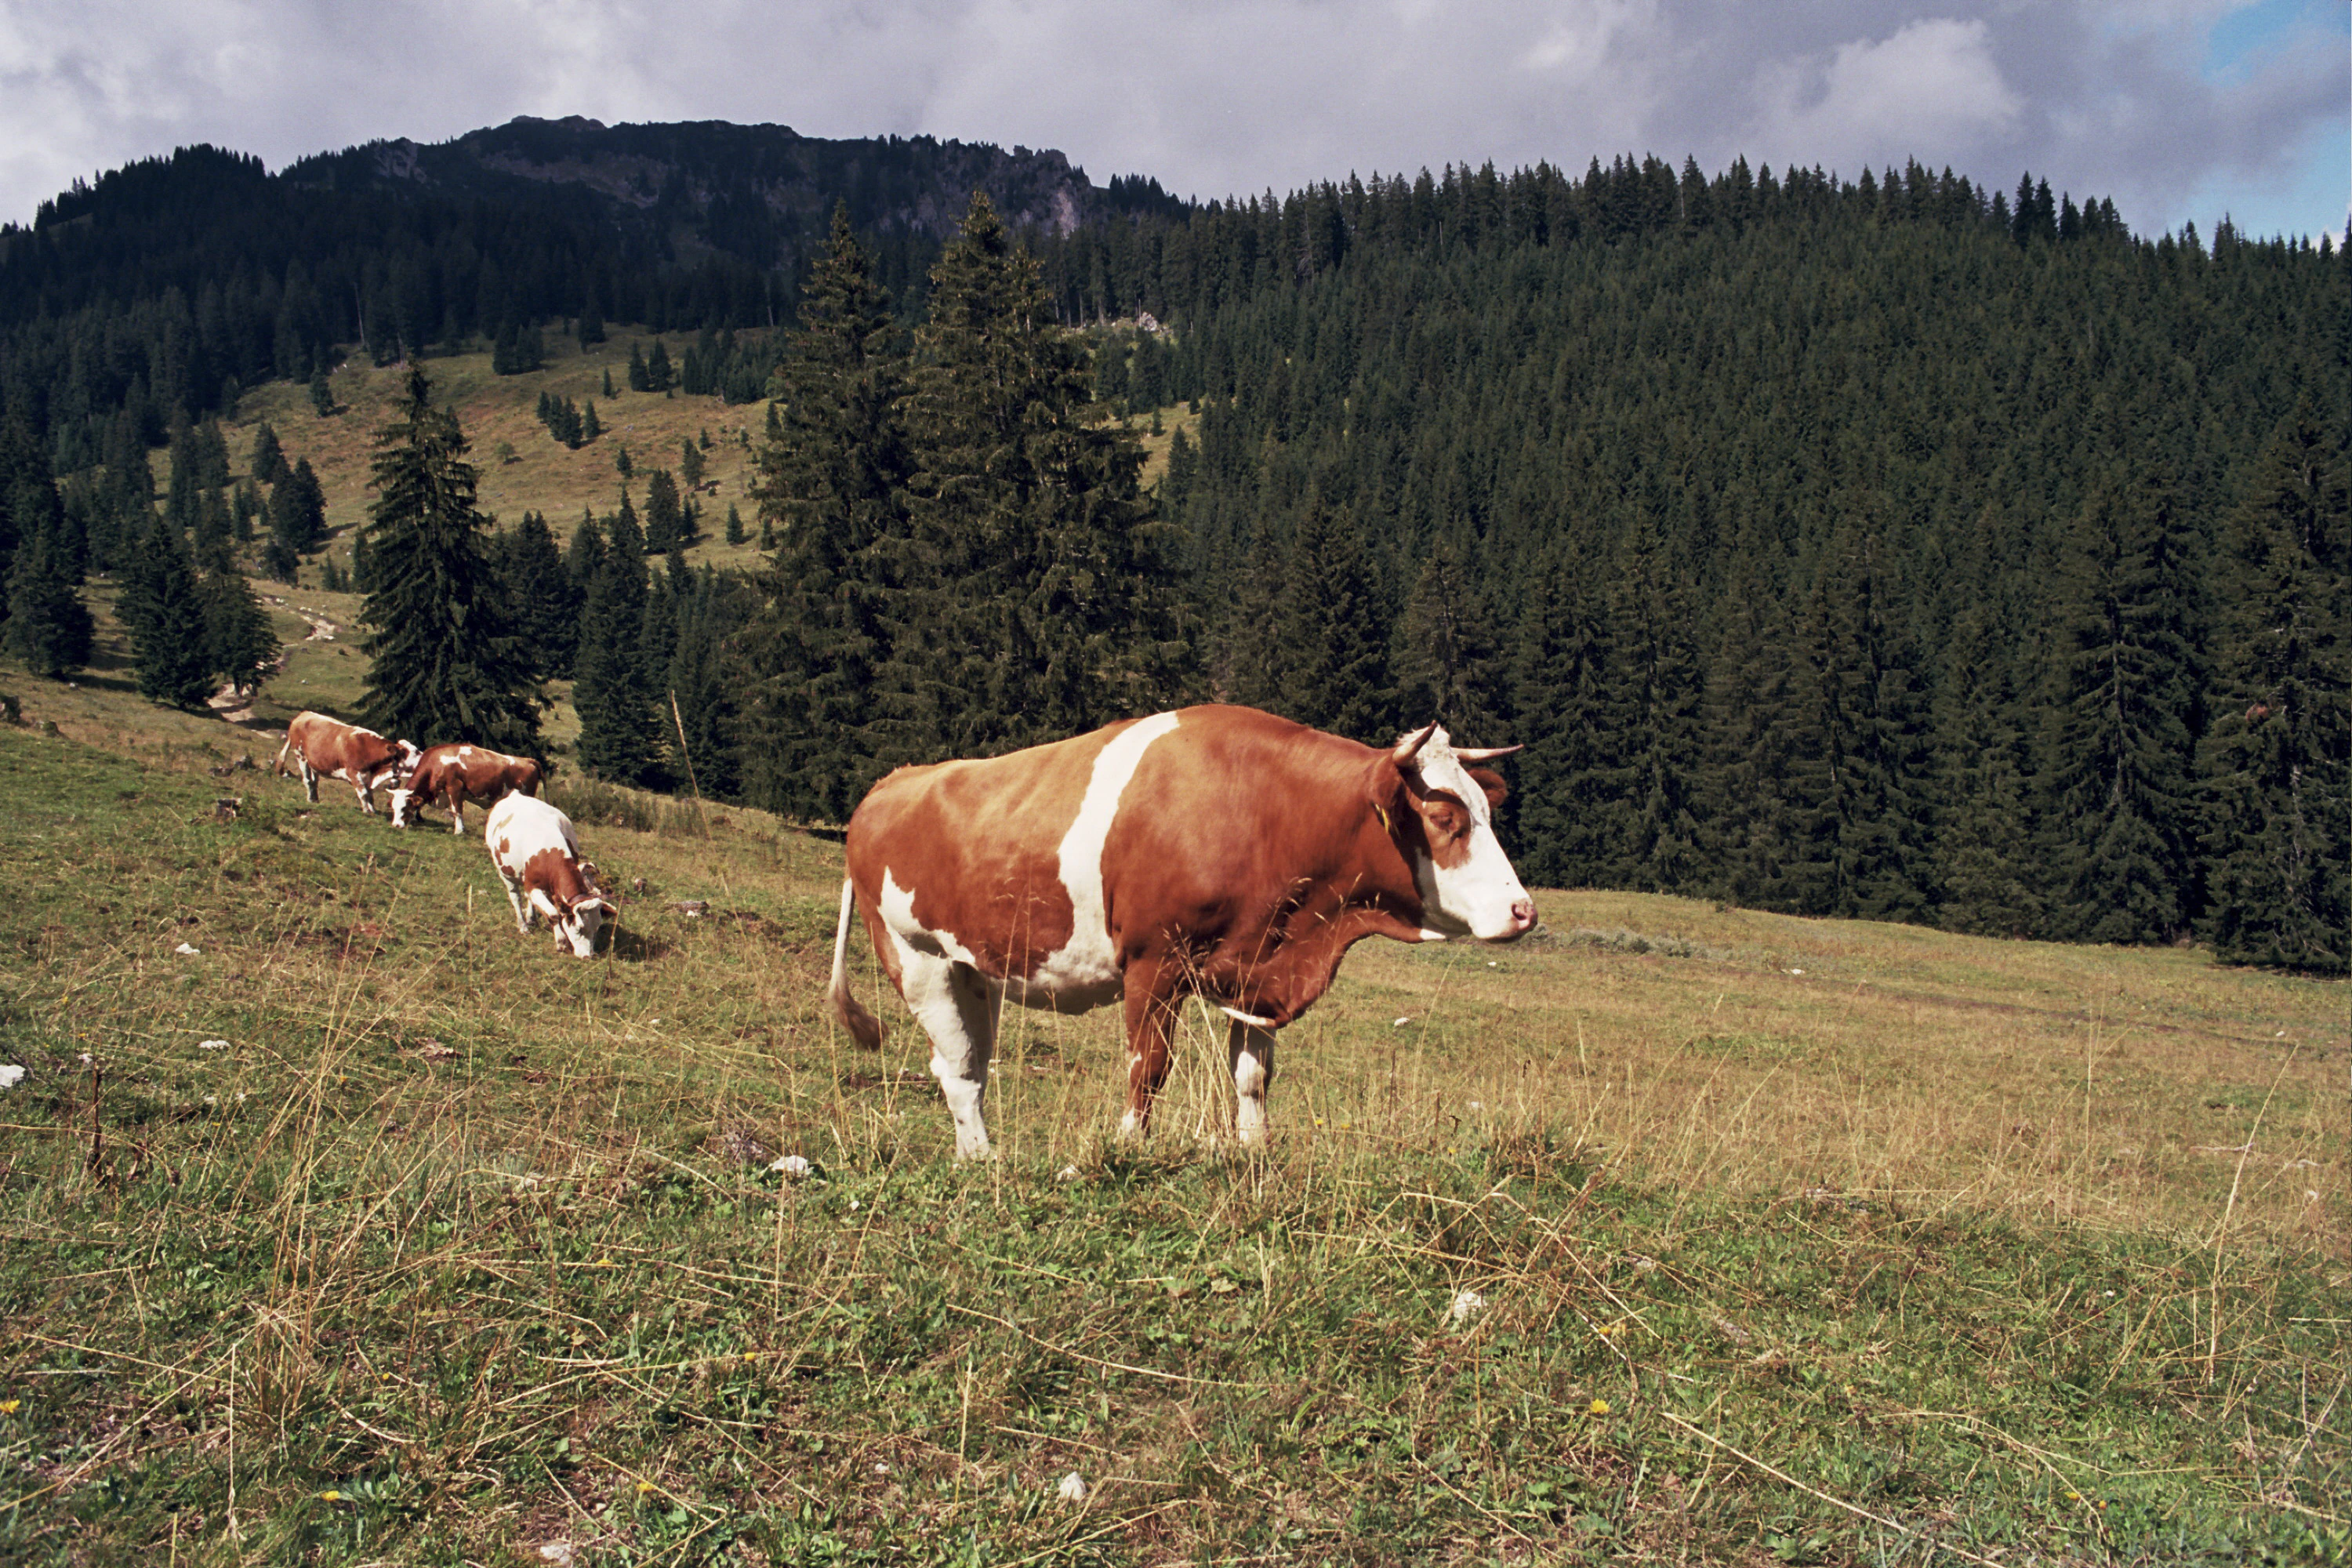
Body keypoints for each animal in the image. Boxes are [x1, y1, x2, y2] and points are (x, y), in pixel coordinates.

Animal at [273, 711, 420, 814]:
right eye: (416, 751)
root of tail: (303, 714)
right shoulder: (353, 772)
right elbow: (364, 793)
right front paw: (366, 811)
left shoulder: (368, 777)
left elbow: (370, 794)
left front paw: (373, 810)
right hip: (301, 756)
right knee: (308, 780)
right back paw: (309, 799)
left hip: (314, 763)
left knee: (315, 782)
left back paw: (316, 799)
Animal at [389, 744, 545, 834]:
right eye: (393, 807)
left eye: (404, 807)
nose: (395, 825)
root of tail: (528, 760)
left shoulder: (455, 787)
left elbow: (457, 810)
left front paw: (459, 831)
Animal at [484, 794, 613, 958]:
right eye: (578, 929)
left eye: (597, 928)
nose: (587, 956)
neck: (550, 851)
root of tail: (515, 794)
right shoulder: (532, 885)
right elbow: (553, 914)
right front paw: (561, 942)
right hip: (505, 874)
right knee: (516, 897)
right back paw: (523, 926)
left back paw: (531, 919)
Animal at [827, 705, 1536, 1160]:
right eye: (1444, 818)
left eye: (1485, 809)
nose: (1523, 910)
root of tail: (891, 785)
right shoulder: (1154, 961)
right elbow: (1149, 1067)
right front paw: (1125, 1149)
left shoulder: (1258, 970)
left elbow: (1253, 1076)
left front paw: (1254, 1150)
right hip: (917, 959)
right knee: (955, 1068)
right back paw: (983, 1160)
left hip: (975, 970)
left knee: (967, 1062)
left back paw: (975, 1155)